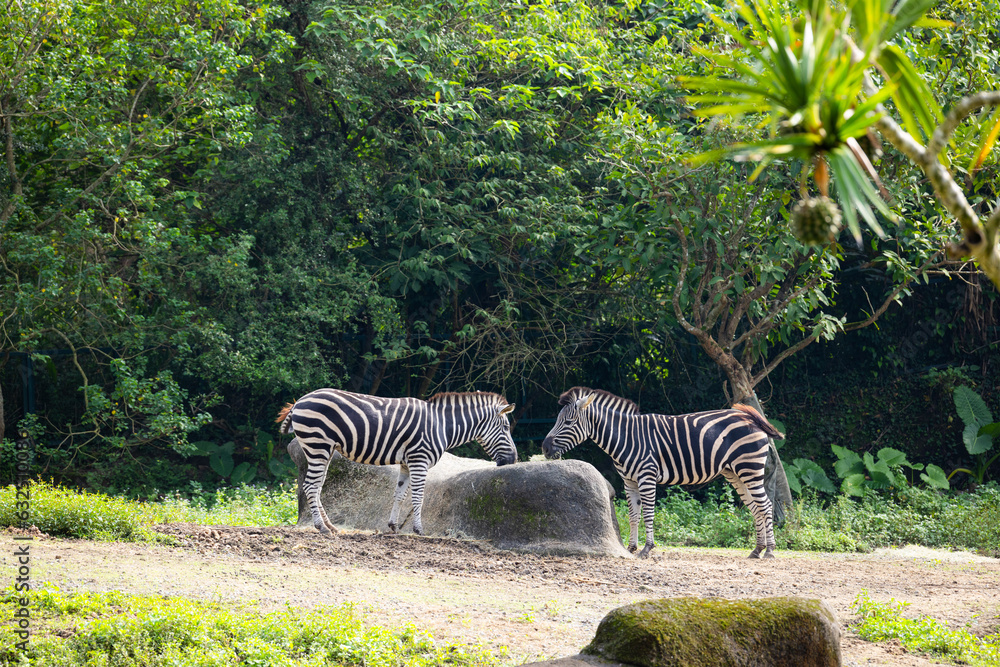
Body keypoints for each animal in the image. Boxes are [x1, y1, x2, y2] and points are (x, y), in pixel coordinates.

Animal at [277, 388, 518, 536]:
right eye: (506, 428)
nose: (513, 459)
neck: (442, 425)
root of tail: (300, 401)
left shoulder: (406, 463)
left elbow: (399, 494)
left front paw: (393, 526)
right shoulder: (420, 460)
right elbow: (418, 497)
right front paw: (419, 530)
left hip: (324, 450)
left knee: (316, 487)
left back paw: (330, 525)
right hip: (317, 445)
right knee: (310, 486)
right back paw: (321, 527)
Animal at [541, 387, 790, 559]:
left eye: (569, 422)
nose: (544, 448)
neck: (625, 437)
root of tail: (750, 417)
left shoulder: (647, 476)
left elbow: (649, 513)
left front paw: (647, 548)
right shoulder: (629, 482)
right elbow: (633, 515)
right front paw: (631, 547)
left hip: (750, 468)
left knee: (765, 505)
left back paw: (770, 550)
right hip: (735, 473)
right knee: (755, 508)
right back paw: (756, 550)